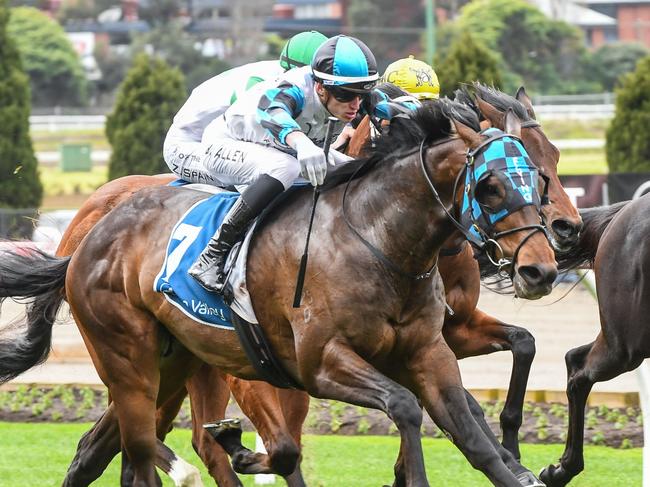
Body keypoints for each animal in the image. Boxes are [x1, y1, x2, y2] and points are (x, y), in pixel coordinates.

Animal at [1, 101, 556, 486]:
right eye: (489, 186)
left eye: (538, 180)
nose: (541, 269)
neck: (377, 239)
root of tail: (87, 240)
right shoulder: (319, 362)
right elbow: (400, 407)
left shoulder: (428, 351)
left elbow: (473, 436)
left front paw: (518, 467)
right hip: (126, 357)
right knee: (142, 443)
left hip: (172, 362)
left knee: (108, 448)